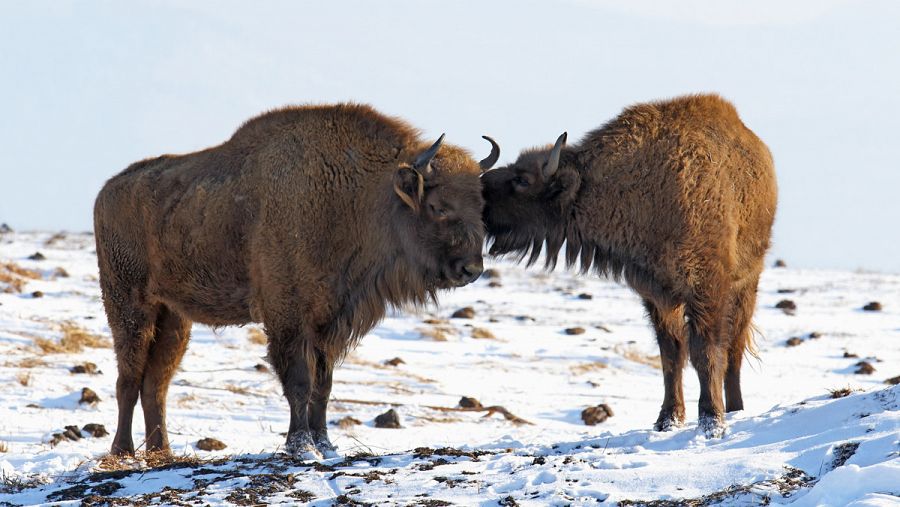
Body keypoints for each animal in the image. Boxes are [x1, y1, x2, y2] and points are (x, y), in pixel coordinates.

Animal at [95, 104, 496, 460]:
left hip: (174, 317)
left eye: (480, 206)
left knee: (155, 382)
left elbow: (323, 387)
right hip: (128, 305)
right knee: (129, 378)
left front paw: (326, 445)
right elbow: (300, 383)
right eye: (438, 206)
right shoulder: (288, 317)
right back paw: (122, 452)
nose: (471, 268)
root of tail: (105, 192)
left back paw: (162, 453)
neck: (356, 197)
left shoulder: (328, 323)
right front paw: (300, 446)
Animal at [482, 94, 776, 436]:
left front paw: (712, 421)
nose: (480, 189)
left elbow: (706, 353)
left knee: (735, 348)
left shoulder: (706, 288)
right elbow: (671, 356)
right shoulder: (657, 295)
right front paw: (667, 420)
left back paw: (736, 409)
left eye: (522, 179)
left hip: (747, 283)